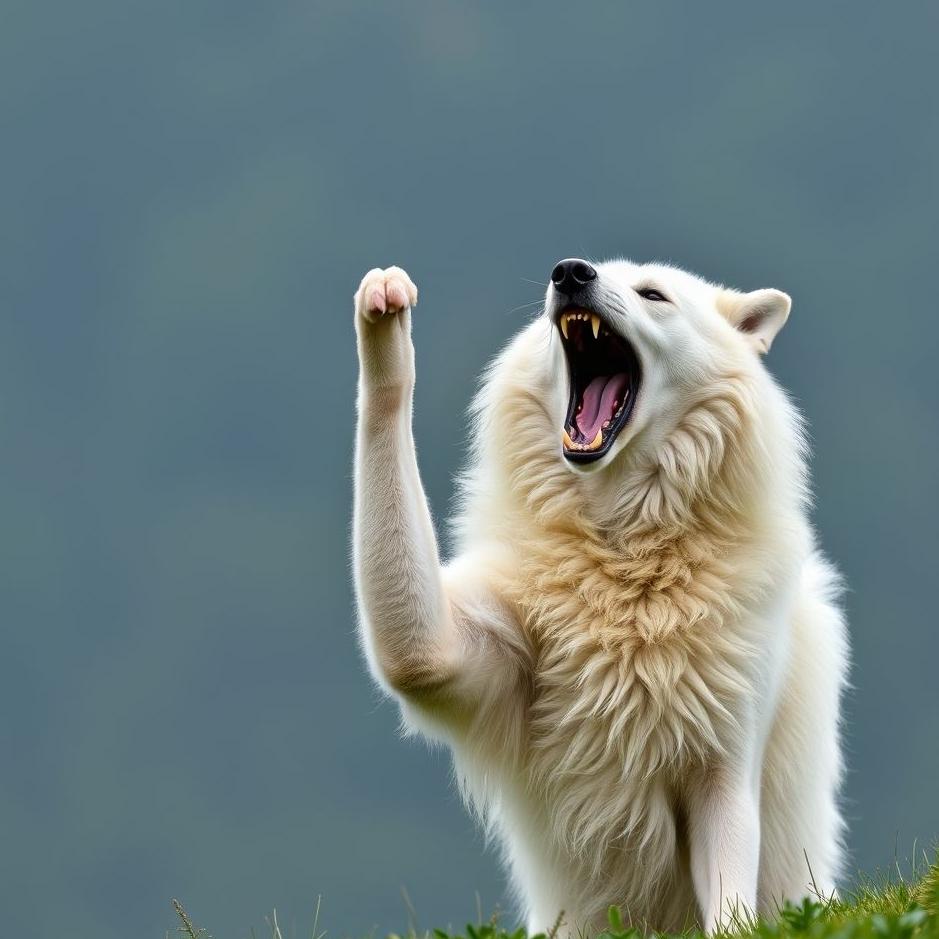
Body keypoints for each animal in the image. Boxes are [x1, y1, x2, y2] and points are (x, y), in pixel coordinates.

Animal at [351, 259, 848, 934]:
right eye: (572, 273)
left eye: (654, 295)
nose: (570, 273)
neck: (624, 552)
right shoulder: (449, 655)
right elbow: (413, 657)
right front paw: (386, 308)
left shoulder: (726, 764)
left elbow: (729, 904)